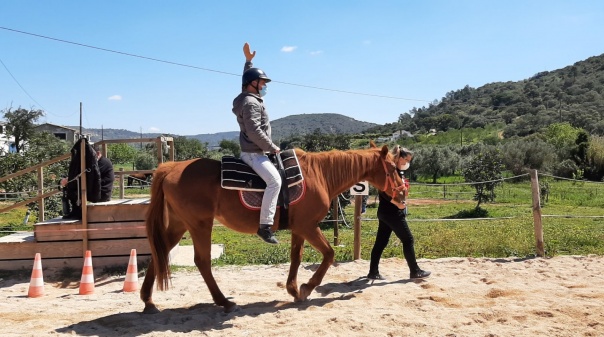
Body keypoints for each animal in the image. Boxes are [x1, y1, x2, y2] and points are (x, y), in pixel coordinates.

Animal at [142, 142, 406, 312]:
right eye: (393, 169)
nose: (402, 194)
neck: (319, 175)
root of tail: (171, 168)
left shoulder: (299, 229)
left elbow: (296, 257)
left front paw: (294, 290)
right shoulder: (309, 226)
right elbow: (329, 254)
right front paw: (306, 288)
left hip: (179, 225)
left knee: (160, 253)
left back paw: (148, 301)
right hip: (199, 225)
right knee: (202, 261)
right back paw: (223, 301)